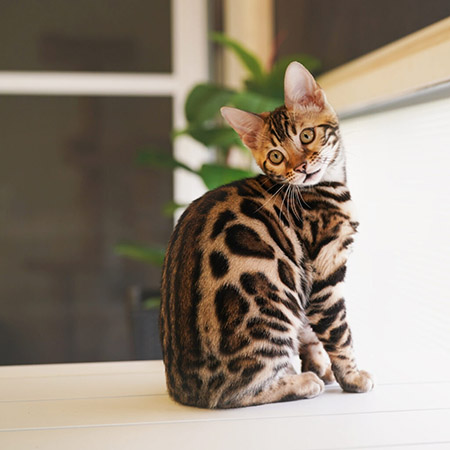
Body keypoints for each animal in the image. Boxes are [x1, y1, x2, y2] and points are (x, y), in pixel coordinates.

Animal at [160, 61, 374, 410]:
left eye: (307, 135)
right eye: (275, 156)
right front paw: (351, 376)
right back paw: (301, 382)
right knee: (234, 393)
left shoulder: (306, 283)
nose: (301, 168)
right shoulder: (324, 270)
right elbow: (339, 331)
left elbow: (310, 333)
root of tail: (184, 392)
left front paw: (322, 366)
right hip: (271, 311)